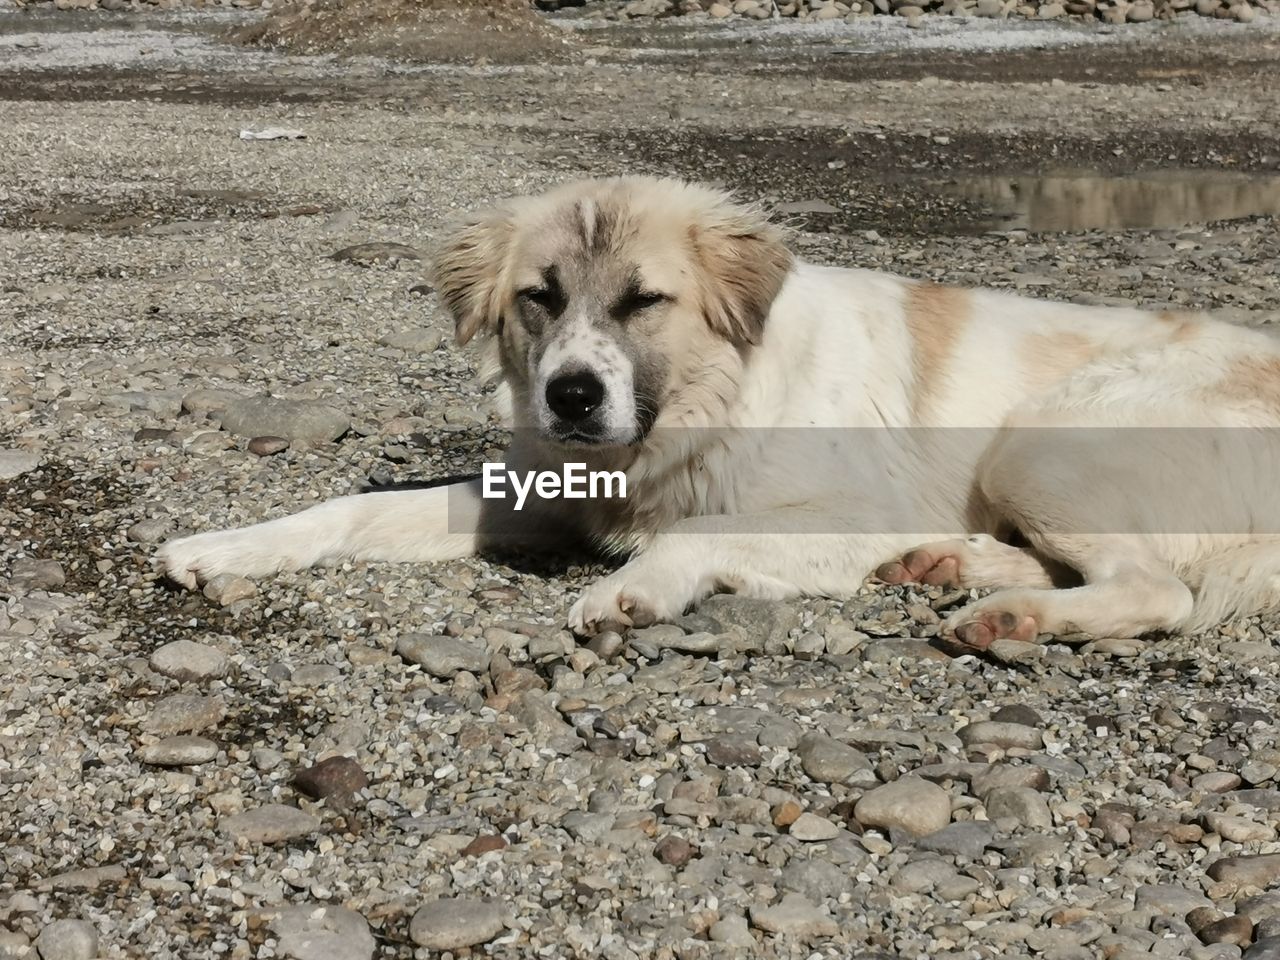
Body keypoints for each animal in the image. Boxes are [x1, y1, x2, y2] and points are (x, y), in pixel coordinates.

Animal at [157, 175, 1280, 650]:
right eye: (539, 297)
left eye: (644, 300)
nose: (571, 395)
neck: (707, 406)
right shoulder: (548, 492)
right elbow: (353, 507)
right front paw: (226, 544)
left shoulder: (839, 509)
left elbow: (697, 531)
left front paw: (633, 590)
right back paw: (953, 567)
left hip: (1041, 444)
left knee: (1158, 589)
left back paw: (1011, 614)